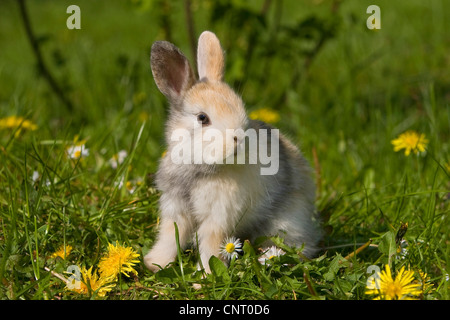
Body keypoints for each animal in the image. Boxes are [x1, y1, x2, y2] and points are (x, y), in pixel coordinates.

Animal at [144, 30, 320, 272]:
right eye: (202, 118)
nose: (239, 138)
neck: (200, 169)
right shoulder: (175, 208)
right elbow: (170, 237)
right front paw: (155, 263)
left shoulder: (218, 217)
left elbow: (211, 244)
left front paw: (205, 275)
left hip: (287, 223)